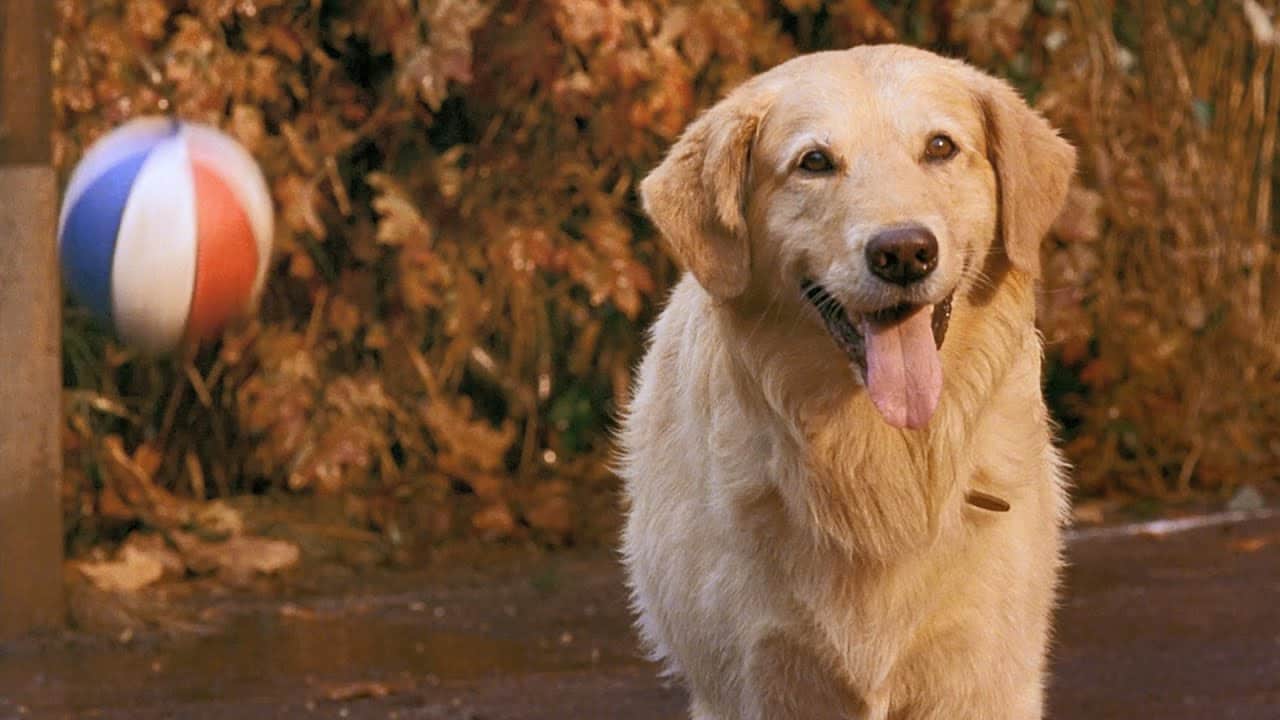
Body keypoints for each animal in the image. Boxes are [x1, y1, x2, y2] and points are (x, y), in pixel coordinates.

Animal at [614, 46, 1075, 717]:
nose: (904, 253)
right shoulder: (750, 681)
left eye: (940, 146)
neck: (877, 452)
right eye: (815, 162)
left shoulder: (982, 677)